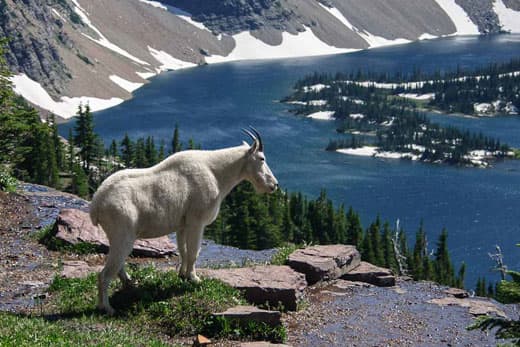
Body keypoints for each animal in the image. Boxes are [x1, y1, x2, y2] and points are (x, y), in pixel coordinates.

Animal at [90, 128, 278, 316]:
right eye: (262, 158)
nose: (274, 185)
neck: (216, 173)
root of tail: (97, 204)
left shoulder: (182, 225)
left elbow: (183, 250)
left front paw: (182, 275)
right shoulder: (197, 222)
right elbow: (194, 252)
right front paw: (194, 278)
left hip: (116, 236)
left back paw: (129, 284)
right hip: (123, 234)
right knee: (104, 274)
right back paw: (107, 308)